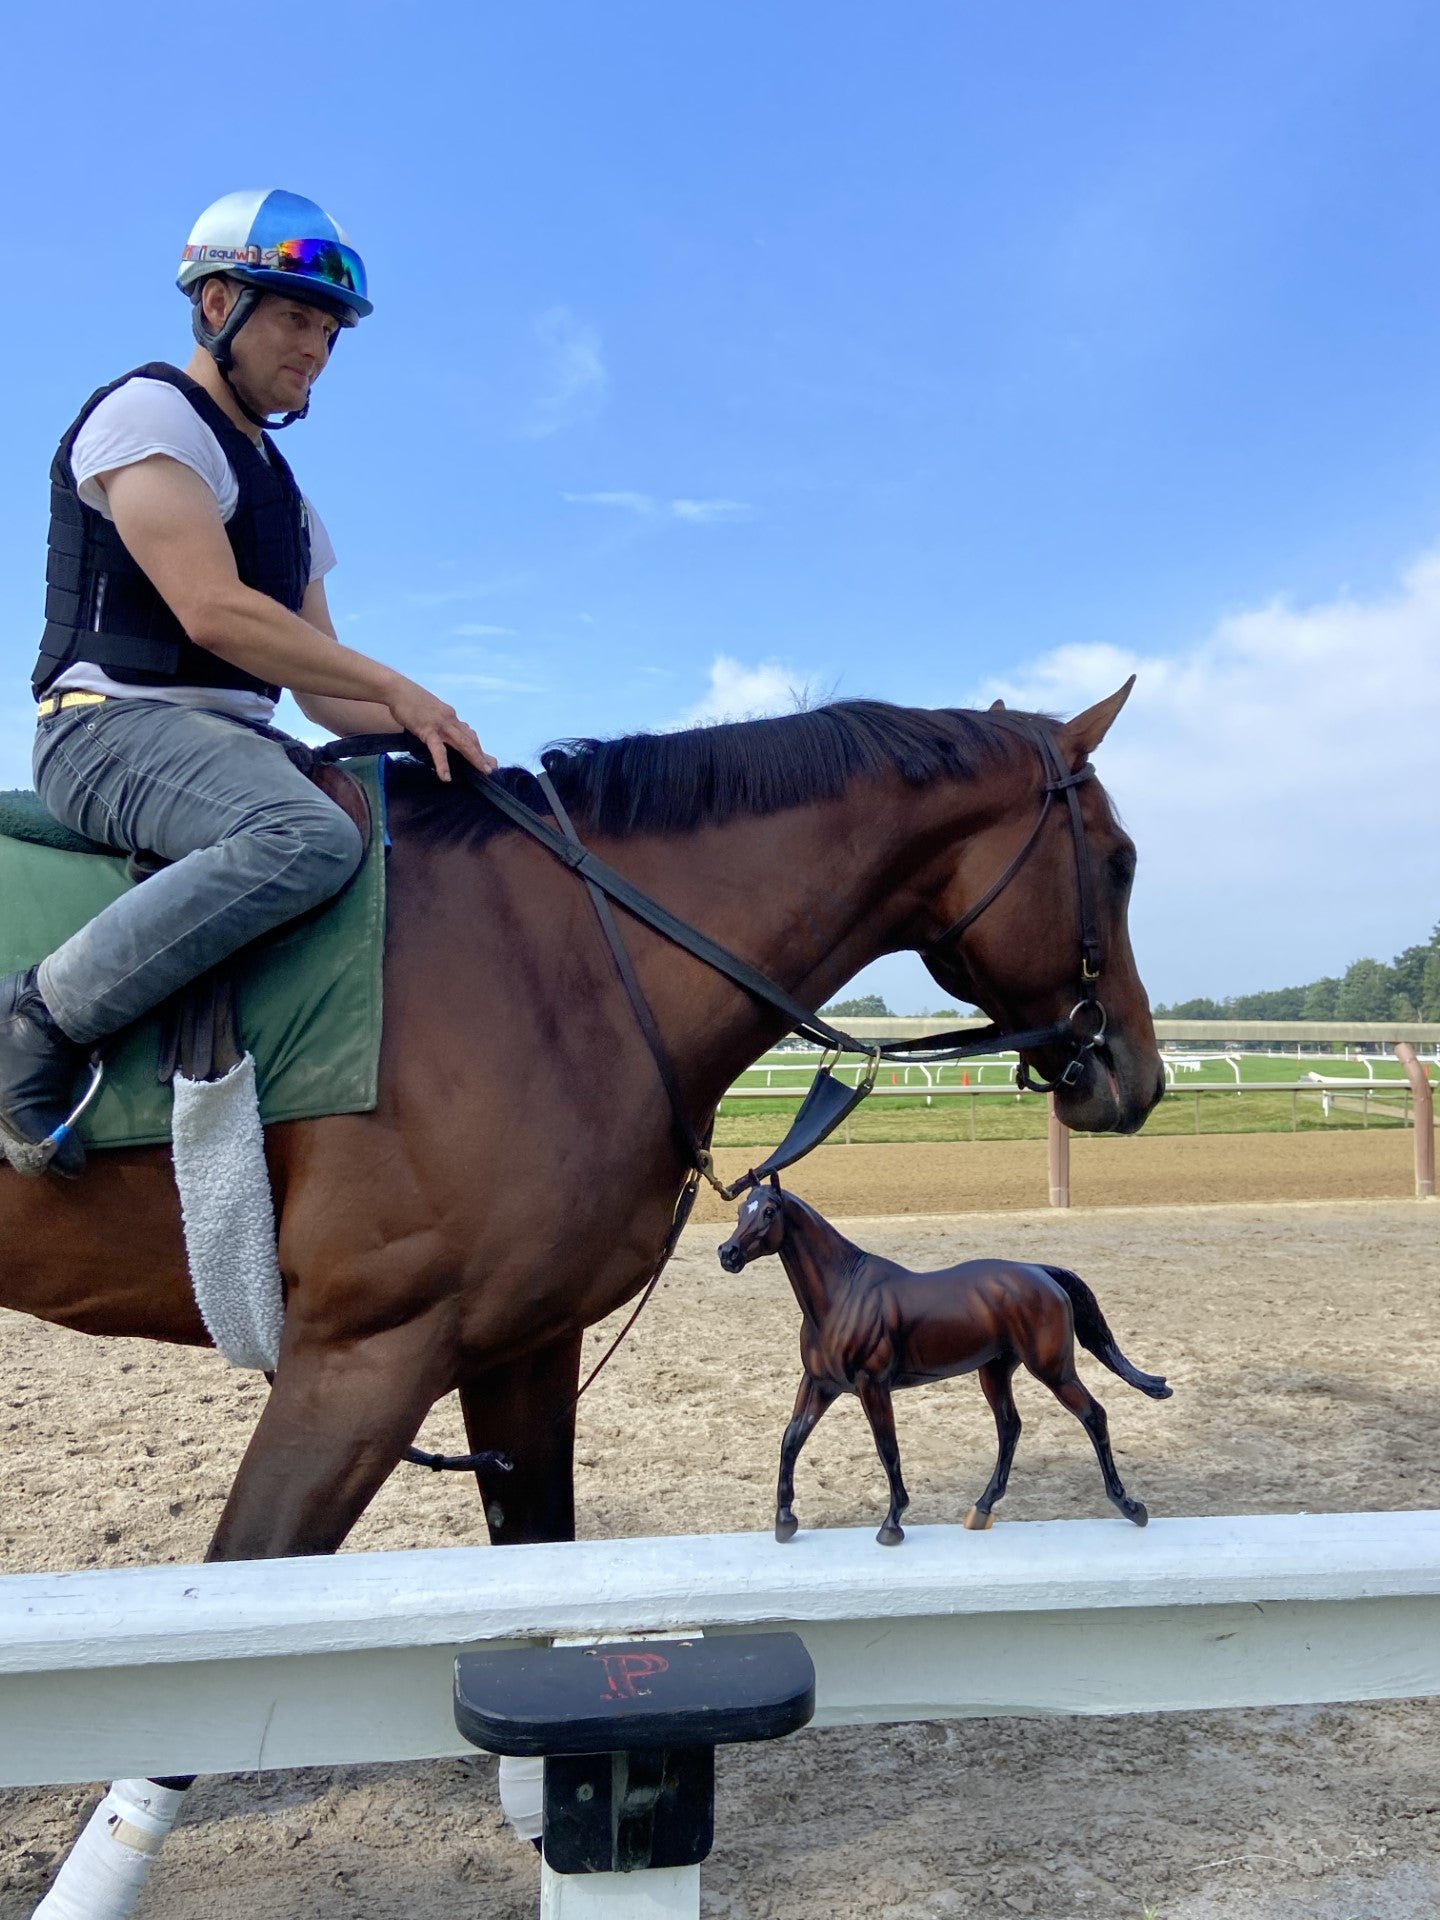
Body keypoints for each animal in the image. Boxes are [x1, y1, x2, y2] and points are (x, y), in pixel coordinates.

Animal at [718, 1182, 1175, 1543]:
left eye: (770, 1211)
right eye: (741, 1210)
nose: (728, 1252)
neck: (842, 1295)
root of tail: (1040, 1272)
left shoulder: (872, 1384)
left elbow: (887, 1448)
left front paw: (892, 1524)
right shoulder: (820, 1383)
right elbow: (791, 1439)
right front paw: (784, 1521)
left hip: (1053, 1370)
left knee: (1093, 1415)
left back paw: (1130, 1506)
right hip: (995, 1371)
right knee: (1010, 1427)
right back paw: (982, 1508)